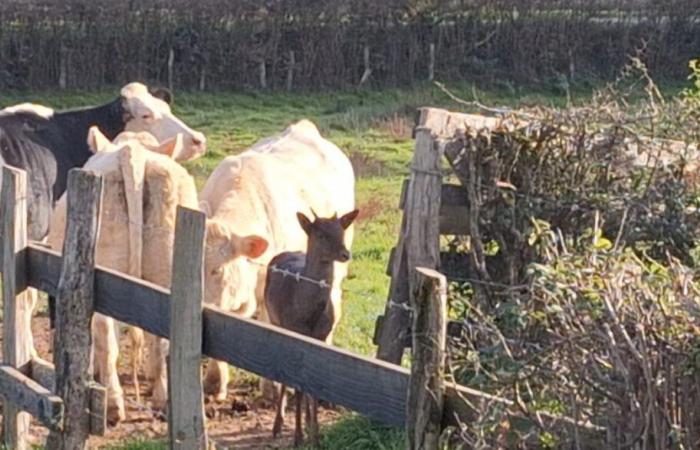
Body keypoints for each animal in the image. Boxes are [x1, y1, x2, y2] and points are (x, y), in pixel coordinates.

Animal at [266, 208, 358, 446]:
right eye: (321, 234)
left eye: (342, 231)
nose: (345, 254)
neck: (308, 315)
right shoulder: (294, 331)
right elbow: (297, 386)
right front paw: (298, 437)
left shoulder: (322, 337)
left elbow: (314, 385)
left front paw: (315, 435)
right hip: (274, 321)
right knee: (284, 375)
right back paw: (278, 425)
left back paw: (306, 422)